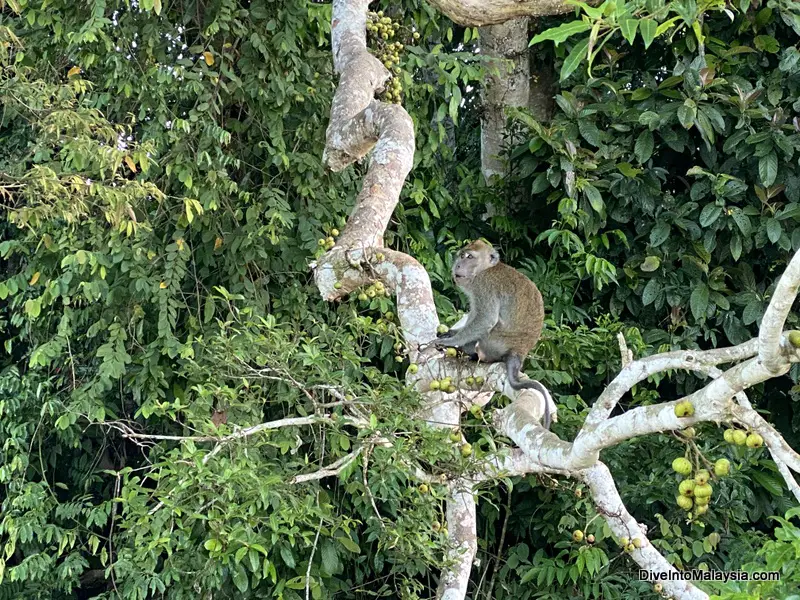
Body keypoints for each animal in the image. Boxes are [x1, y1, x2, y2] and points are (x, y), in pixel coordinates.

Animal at [434, 240, 552, 432]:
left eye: (469, 257)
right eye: (461, 255)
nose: (457, 265)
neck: (486, 269)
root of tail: (518, 352)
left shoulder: (483, 285)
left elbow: (485, 319)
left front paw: (451, 341)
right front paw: (450, 333)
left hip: (492, 344)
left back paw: (469, 352)